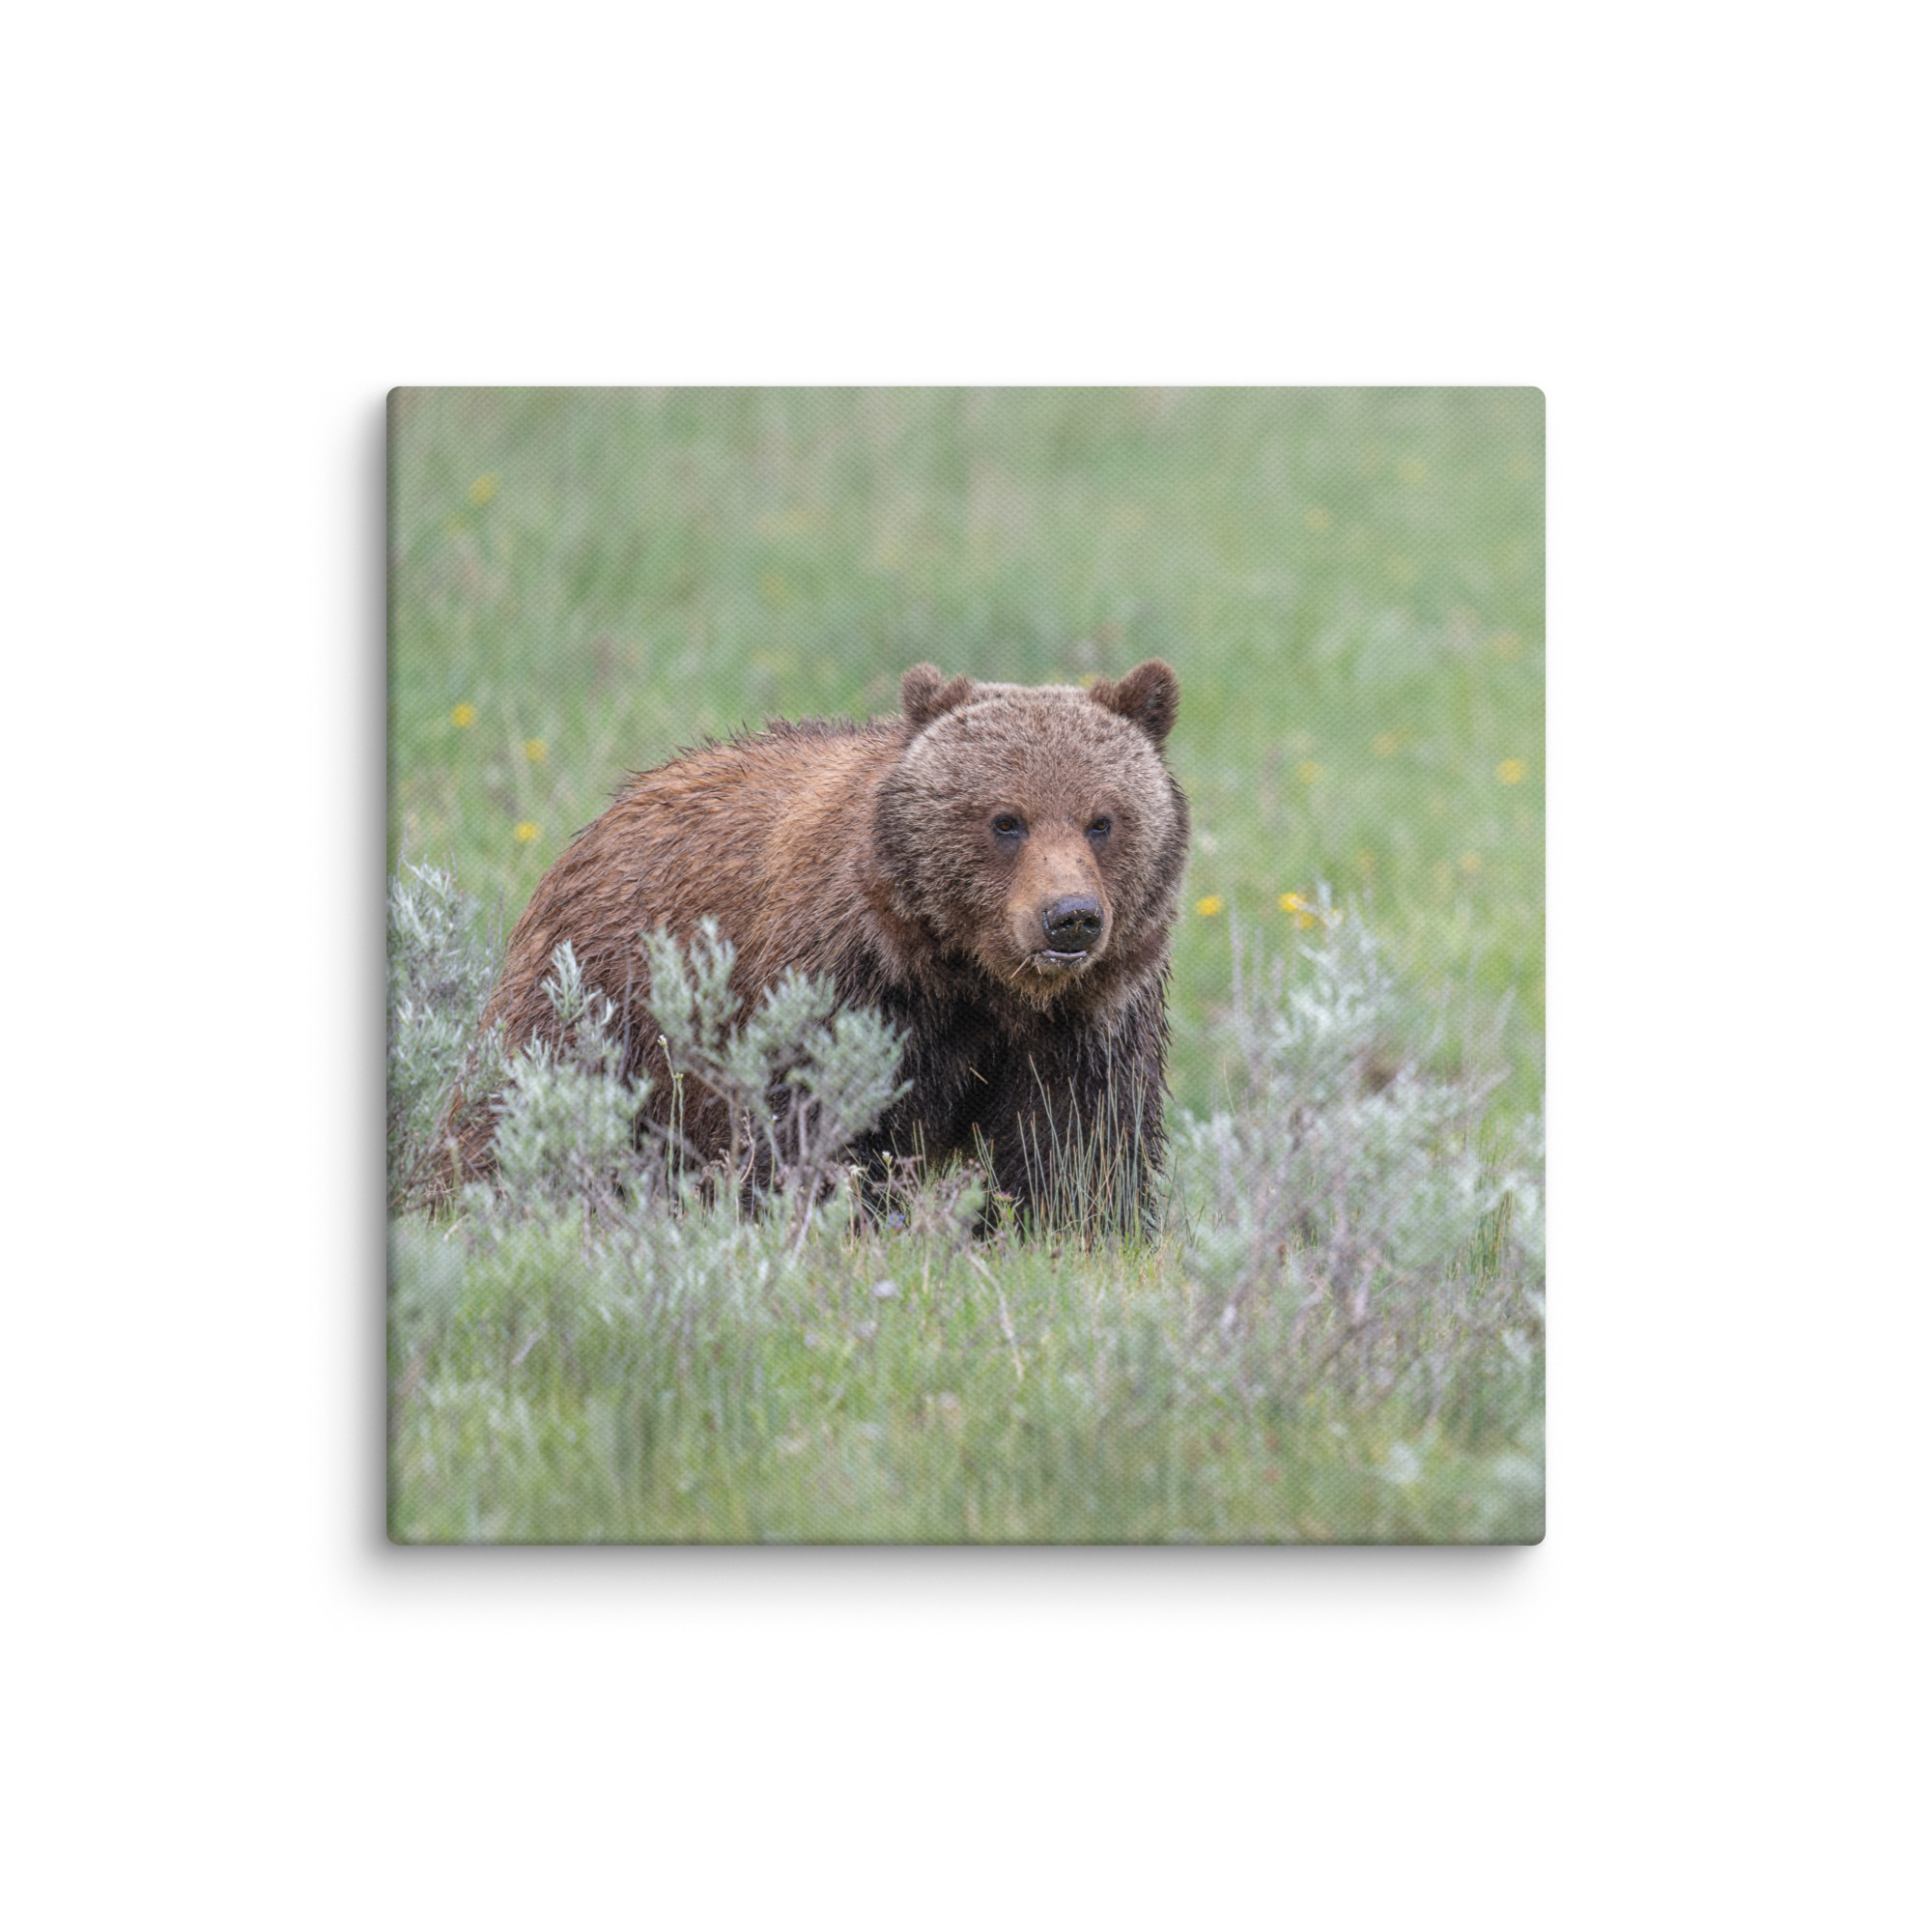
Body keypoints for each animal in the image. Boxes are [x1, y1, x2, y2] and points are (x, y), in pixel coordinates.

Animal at [441, 659, 1190, 1229]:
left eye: (1102, 820)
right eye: (1006, 820)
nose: (1070, 917)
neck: (974, 978)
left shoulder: (1087, 1020)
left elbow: (1077, 1148)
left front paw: (1070, 1230)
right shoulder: (848, 986)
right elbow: (816, 1129)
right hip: (599, 997)